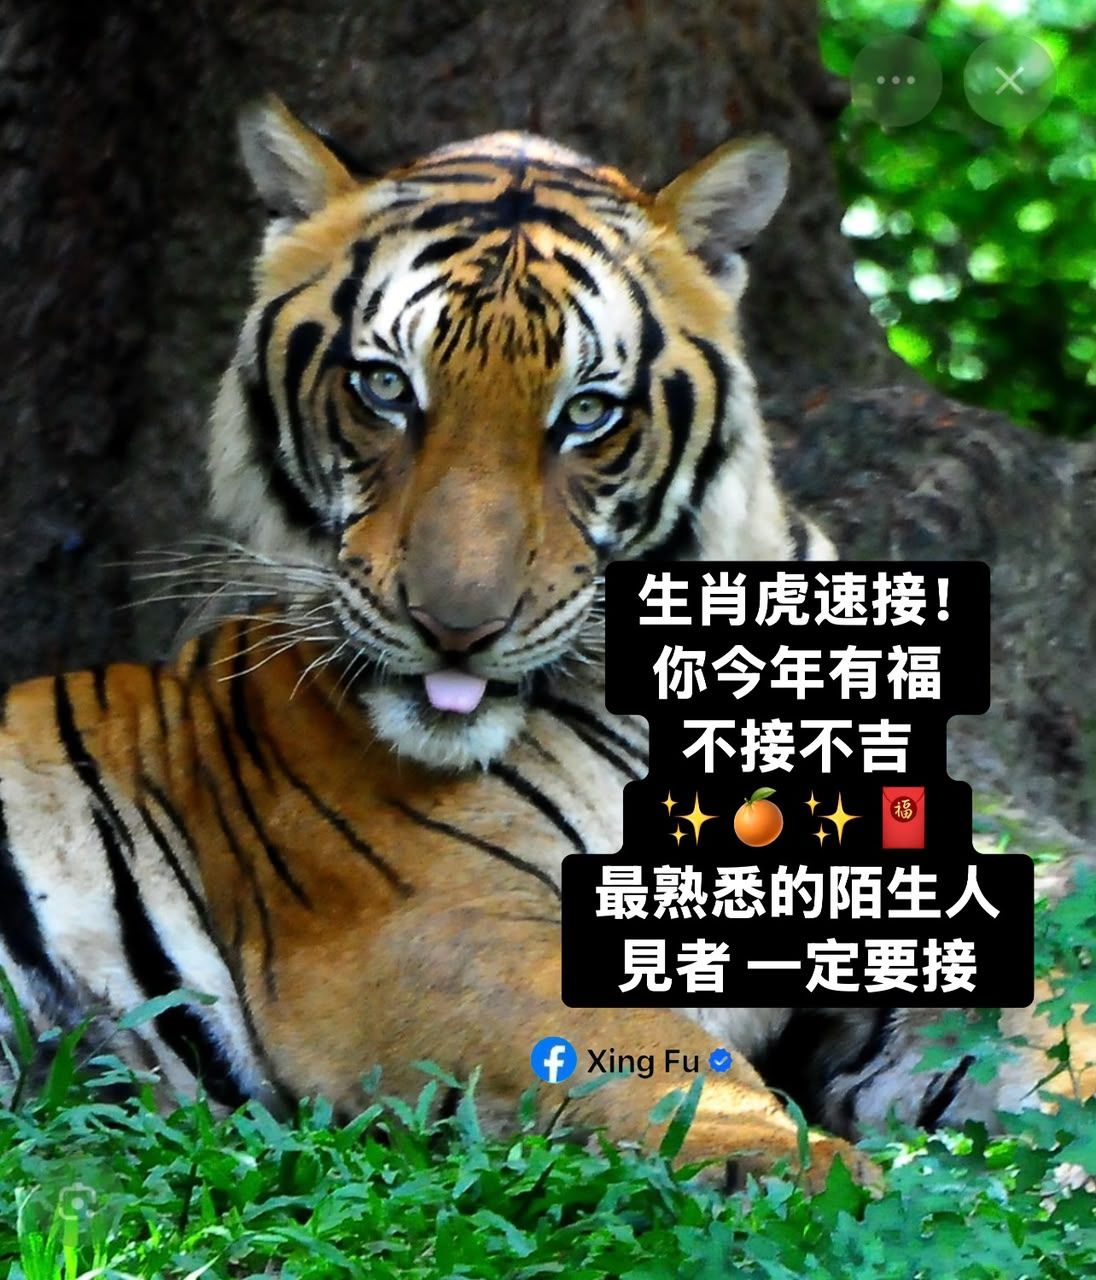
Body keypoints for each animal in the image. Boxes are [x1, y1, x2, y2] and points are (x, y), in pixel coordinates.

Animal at [1, 98, 1091, 1195]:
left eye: (587, 413)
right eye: (385, 387)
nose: (456, 624)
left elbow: (1044, 1006)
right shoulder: (430, 931)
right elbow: (681, 1073)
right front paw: (842, 1185)